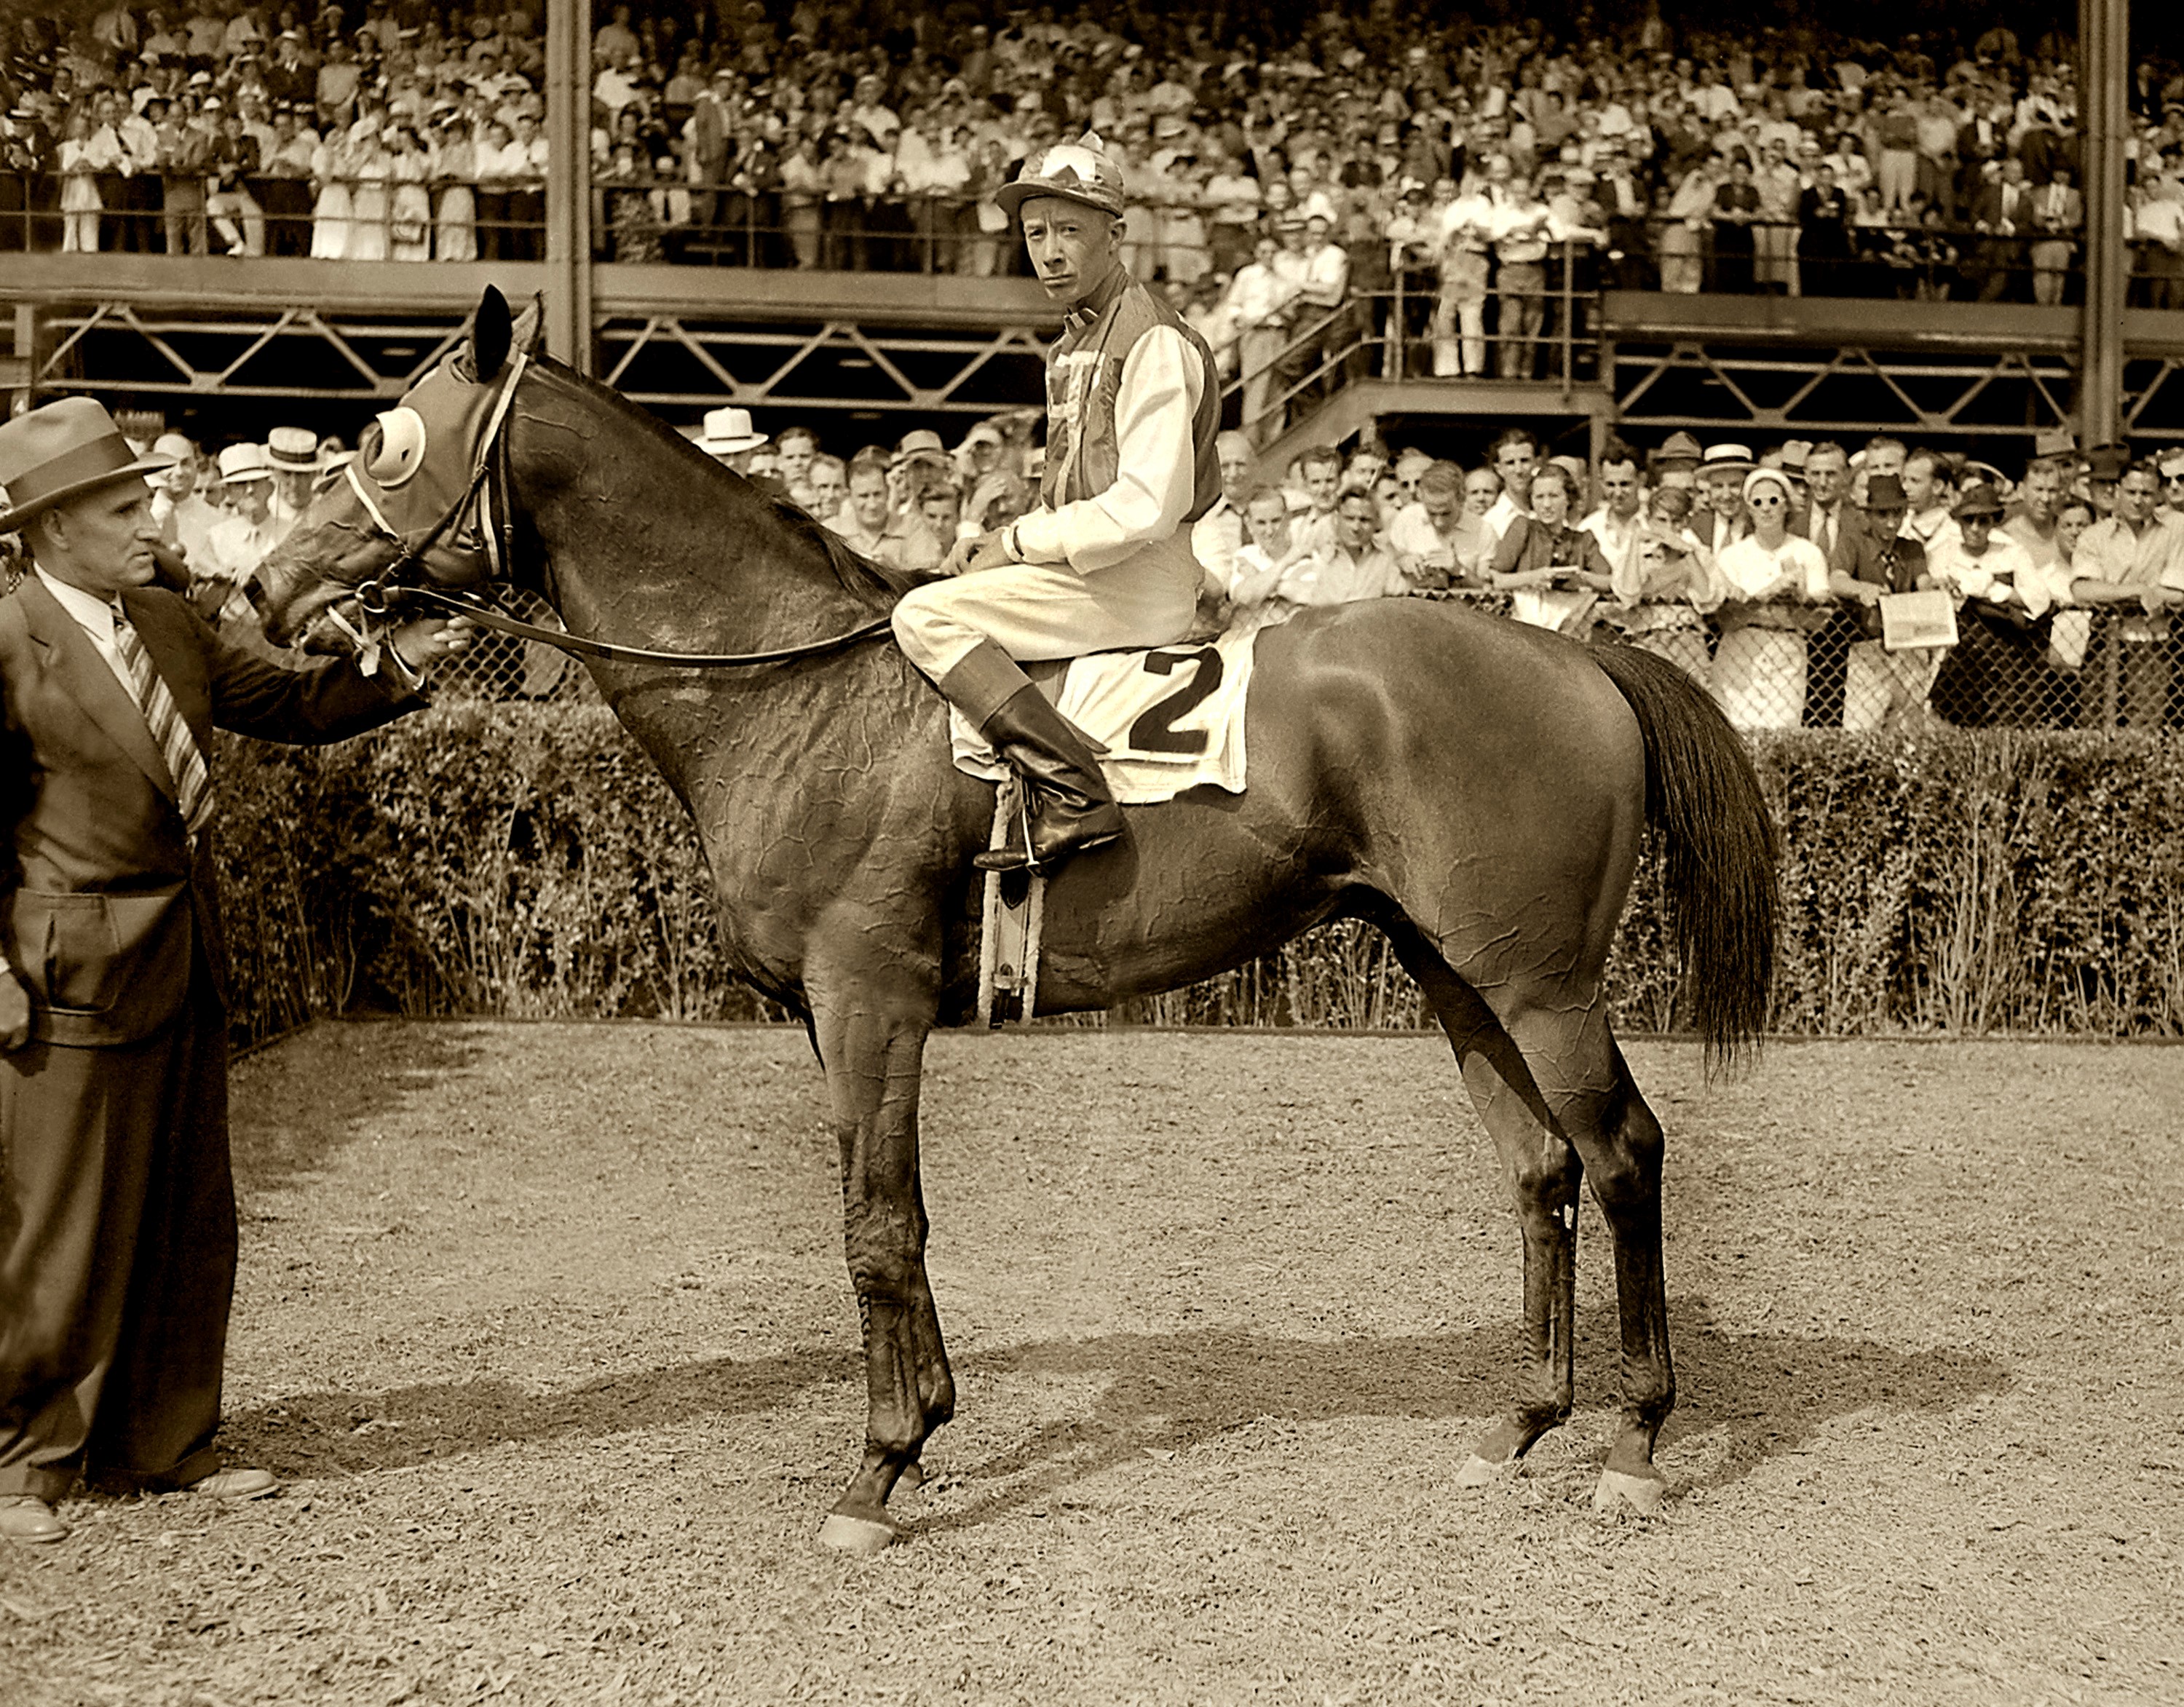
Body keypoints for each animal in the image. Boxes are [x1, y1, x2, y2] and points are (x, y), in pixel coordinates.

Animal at [264, 290, 1782, 1554]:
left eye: (385, 439)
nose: (264, 587)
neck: (794, 693)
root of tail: (1581, 653)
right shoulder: (840, 1021)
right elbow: (898, 1210)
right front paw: (925, 1430)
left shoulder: (866, 998)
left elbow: (875, 1224)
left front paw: (877, 1470)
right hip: (1455, 973)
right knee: (1542, 1168)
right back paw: (1521, 1424)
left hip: (1541, 984)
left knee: (1625, 1153)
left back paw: (1636, 1441)